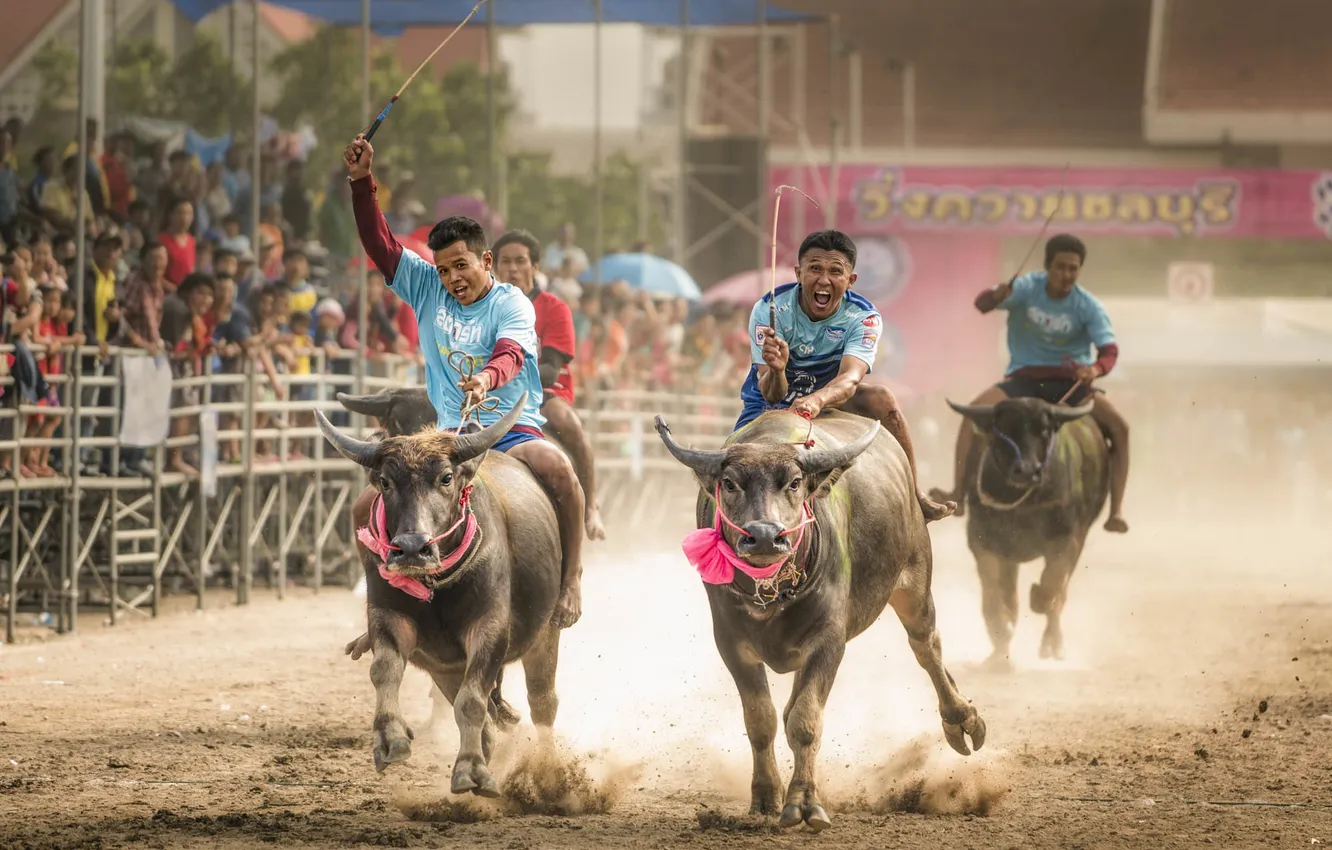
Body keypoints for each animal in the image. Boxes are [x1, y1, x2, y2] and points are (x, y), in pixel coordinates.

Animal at [317, 399, 562, 799]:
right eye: (386, 482)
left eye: (446, 478)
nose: (412, 548)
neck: (438, 590)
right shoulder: (388, 617)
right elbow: (383, 670)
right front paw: (390, 739)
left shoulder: (490, 629)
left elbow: (472, 701)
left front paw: (471, 770)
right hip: (443, 666)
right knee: (486, 716)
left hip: (545, 635)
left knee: (542, 703)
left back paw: (548, 775)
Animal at [658, 410, 991, 831]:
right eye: (730, 483)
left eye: (795, 482)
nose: (765, 536)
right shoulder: (731, 643)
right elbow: (761, 720)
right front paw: (765, 796)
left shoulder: (829, 641)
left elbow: (804, 722)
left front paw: (803, 803)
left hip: (915, 579)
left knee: (926, 647)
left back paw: (962, 719)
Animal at [948, 397, 1113, 668]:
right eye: (1003, 430)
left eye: (1043, 430)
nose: (1026, 470)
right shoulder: (983, 541)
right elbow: (993, 593)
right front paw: (1001, 634)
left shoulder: (1068, 539)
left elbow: (1052, 585)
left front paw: (1037, 599)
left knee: (1059, 593)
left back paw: (1052, 644)